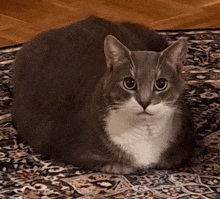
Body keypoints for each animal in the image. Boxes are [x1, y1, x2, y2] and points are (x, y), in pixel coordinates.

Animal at [11, 15, 195, 174]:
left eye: (161, 84)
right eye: (129, 82)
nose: (145, 101)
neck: (144, 131)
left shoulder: (182, 144)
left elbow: (169, 160)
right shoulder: (76, 149)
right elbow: (118, 166)